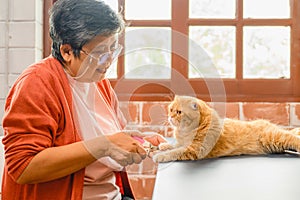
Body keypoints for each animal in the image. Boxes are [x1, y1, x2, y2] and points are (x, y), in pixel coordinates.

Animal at [152, 95, 300, 162]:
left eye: (179, 112)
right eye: (171, 109)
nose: (170, 117)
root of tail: (267, 124)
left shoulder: (195, 149)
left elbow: (175, 152)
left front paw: (160, 156)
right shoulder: (183, 143)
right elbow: (175, 145)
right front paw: (165, 146)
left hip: (273, 138)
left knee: (293, 138)